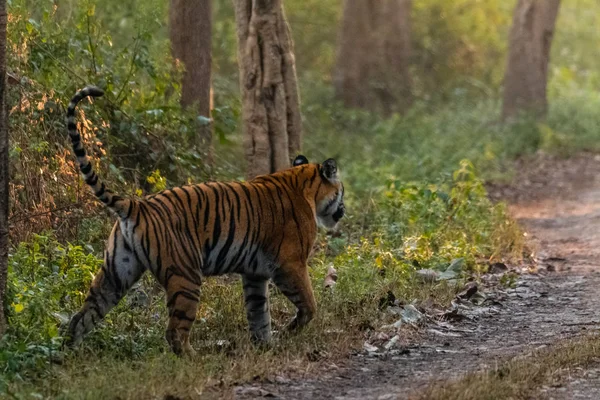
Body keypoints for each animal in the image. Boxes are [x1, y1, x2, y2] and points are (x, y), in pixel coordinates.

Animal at [62, 86, 344, 354]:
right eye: (342, 190)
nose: (343, 209)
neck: (303, 183)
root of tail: (137, 205)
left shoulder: (255, 273)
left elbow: (259, 313)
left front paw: (265, 346)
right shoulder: (291, 264)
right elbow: (309, 304)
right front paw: (289, 332)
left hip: (117, 272)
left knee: (81, 317)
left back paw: (68, 353)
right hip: (185, 275)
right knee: (175, 331)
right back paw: (194, 357)